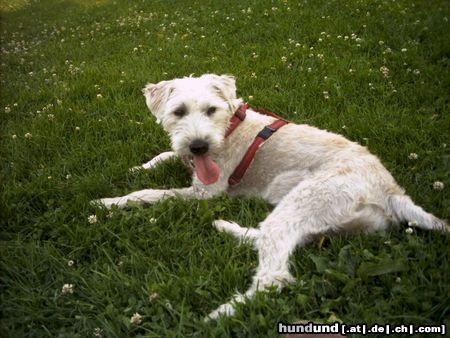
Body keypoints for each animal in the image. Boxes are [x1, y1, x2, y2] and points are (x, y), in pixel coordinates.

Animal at [93, 73, 448, 320]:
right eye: (178, 112)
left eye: (211, 110)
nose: (199, 146)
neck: (229, 128)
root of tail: (392, 190)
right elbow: (164, 156)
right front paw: (139, 167)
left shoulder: (205, 191)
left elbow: (151, 193)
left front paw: (110, 202)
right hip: (334, 220)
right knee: (281, 240)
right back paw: (226, 228)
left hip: (305, 201)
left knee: (273, 276)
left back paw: (217, 315)